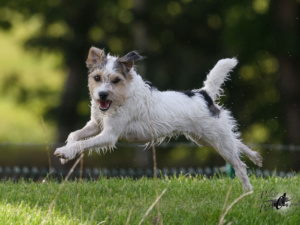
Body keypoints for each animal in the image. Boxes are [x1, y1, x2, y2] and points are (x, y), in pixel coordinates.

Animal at [54, 46, 262, 191]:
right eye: (96, 78)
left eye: (116, 80)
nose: (102, 95)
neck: (122, 97)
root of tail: (204, 94)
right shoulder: (96, 125)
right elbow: (74, 135)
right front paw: (66, 154)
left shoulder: (109, 135)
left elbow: (83, 143)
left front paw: (65, 152)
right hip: (207, 138)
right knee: (236, 143)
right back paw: (256, 156)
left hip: (217, 139)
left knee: (240, 165)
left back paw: (247, 191)